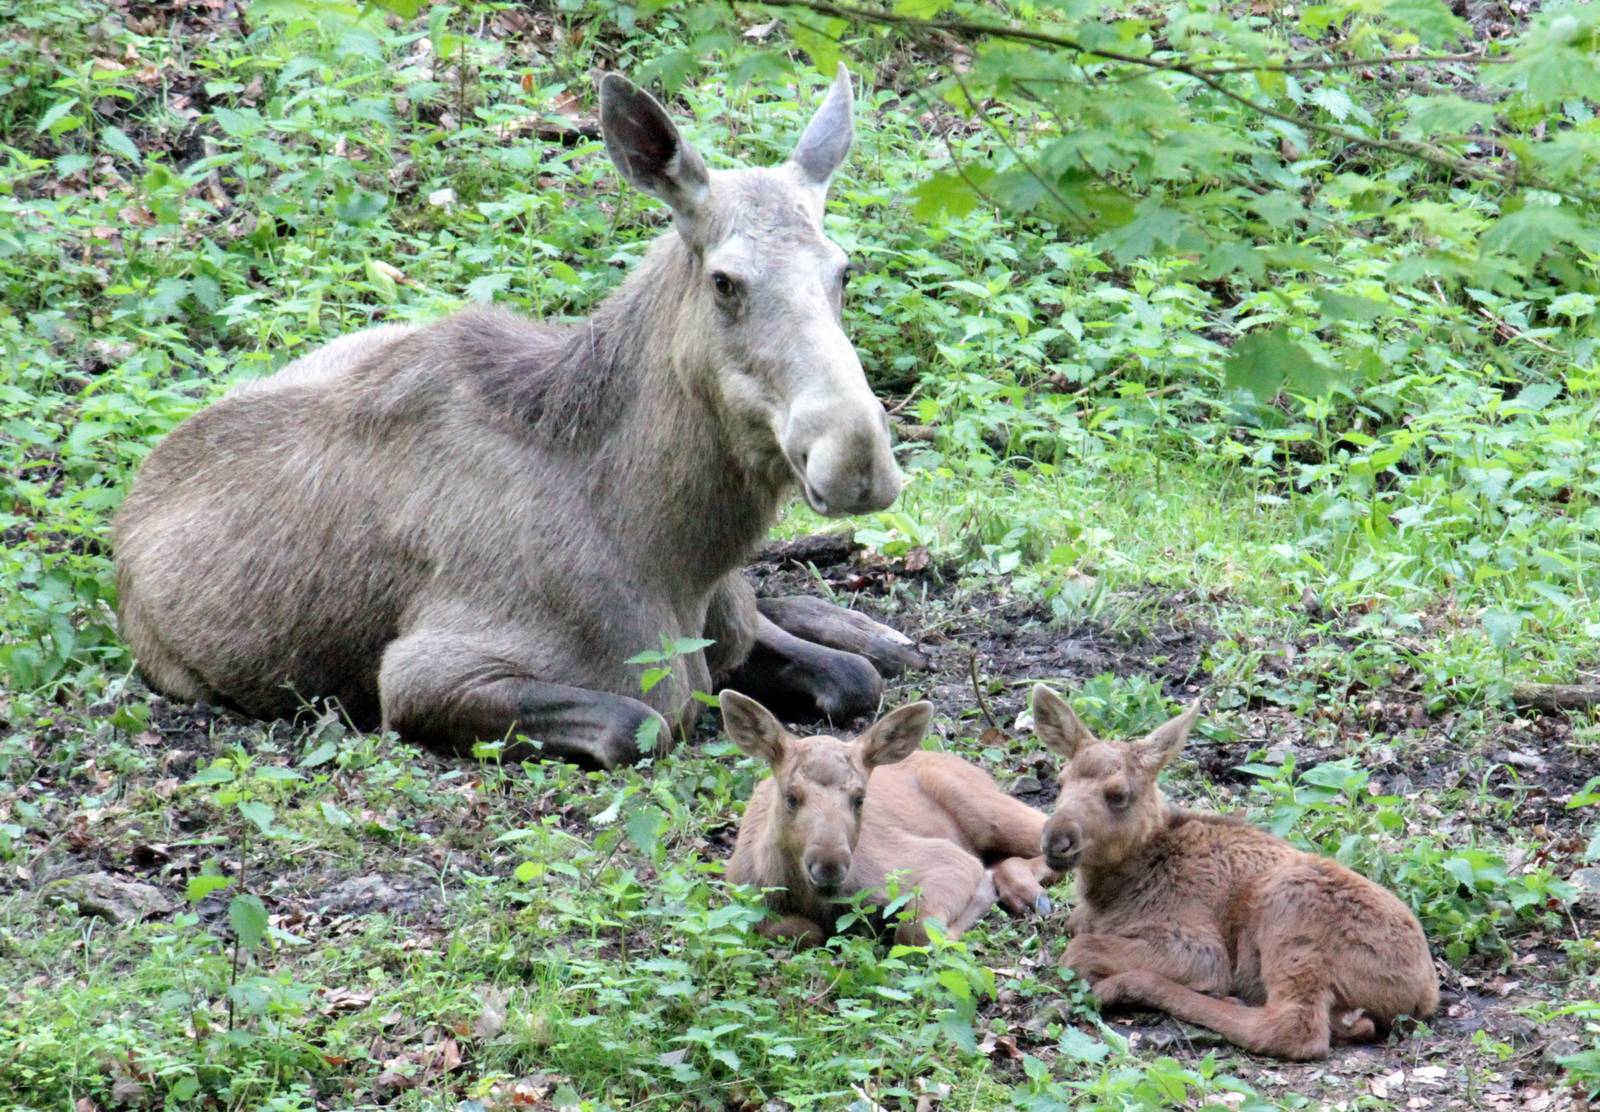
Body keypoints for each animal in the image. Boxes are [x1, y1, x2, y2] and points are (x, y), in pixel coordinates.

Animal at [112, 67, 927, 769]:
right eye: (726, 281)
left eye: (843, 269)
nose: (856, 458)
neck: (674, 551)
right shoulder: (421, 671)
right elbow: (644, 721)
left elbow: (852, 680)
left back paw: (876, 631)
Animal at [721, 690, 1061, 946]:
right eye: (791, 796)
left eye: (860, 798)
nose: (829, 865)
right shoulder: (742, 899)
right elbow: (803, 931)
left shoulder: (946, 859)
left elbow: (917, 930)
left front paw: (981, 894)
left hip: (985, 810)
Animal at [1029, 684, 1439, 1061]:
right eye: (1061, 782)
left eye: (1118, 795)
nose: (1056, 840)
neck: (1112, 895)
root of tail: (1425, 992)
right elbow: (1076, 930)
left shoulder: (1196, 945)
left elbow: (1078, 950)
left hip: (1288, 912)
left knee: (1296, 1028)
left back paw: (1135, 988)